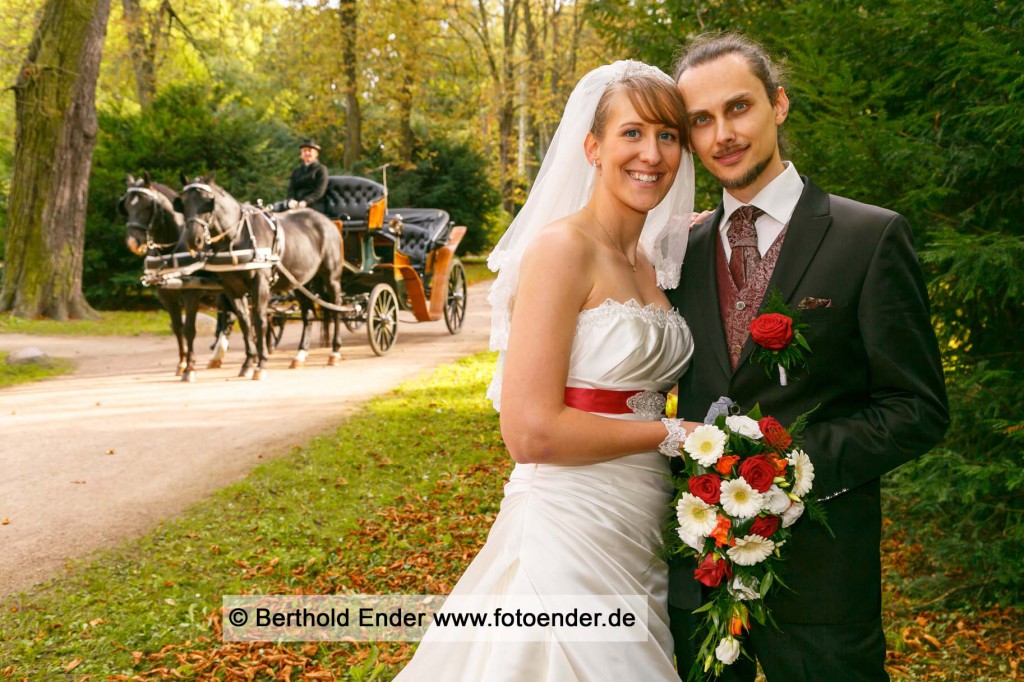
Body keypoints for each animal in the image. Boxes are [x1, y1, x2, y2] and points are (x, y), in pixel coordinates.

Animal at [118, 173, 233, 378]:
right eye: (127, 207)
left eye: (148, 206)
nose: (133, 243)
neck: (171, 250)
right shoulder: (166, 295)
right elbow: (178, 328)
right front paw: (181, 363)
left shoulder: (192, 293)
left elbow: (189, 329)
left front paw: (190, 367)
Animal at [178, 173, 346, 378]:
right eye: (183, 203)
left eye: (208, 202)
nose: (193, 239)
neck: (238, 236)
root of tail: (328, 222)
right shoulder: (232, 289)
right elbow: (244, 322)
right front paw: (248, 363)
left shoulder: (260, 285)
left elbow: (259, 321)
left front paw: (261, 364)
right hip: (300, 282)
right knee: (308, 315)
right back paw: (300, 355)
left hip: (331, 278)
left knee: (336, 307)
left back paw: (334, 352)